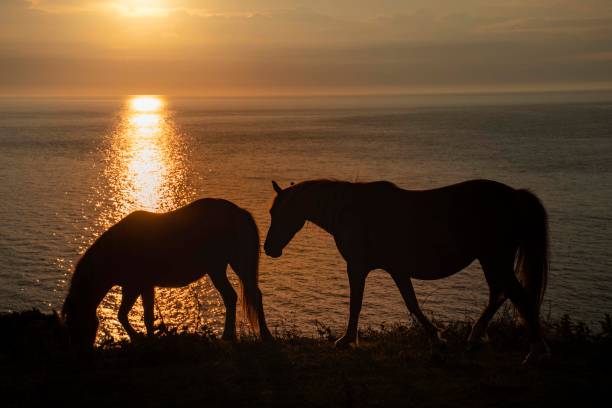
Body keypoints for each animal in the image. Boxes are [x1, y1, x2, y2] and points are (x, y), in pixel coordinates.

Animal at [62, 198, 272, 350]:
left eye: (74, 322)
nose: (80, 351)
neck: (117, 250)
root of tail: (240, 212)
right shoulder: (134, 287)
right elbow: (129, 316)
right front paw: (142, 340)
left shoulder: (140, 285)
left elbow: (140, 317)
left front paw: (145, 341)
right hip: (219, 268)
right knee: (233, 296)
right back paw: (230, 337)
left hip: (232, 265)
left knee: (248, 295)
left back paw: (263, 336)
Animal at [262, 178, 548, 364]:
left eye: (278, 212)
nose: (268, 248)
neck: (351, 209)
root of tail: (515, 196)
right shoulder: (397, 270)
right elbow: (412, 303)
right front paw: (436, 338)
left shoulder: (357, 267)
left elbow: (356, 303)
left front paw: (346, 339)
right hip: (491, 260)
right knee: (500, 294)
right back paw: (477, 337)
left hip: (495, 259)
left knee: (517, 296)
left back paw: (535, 350)